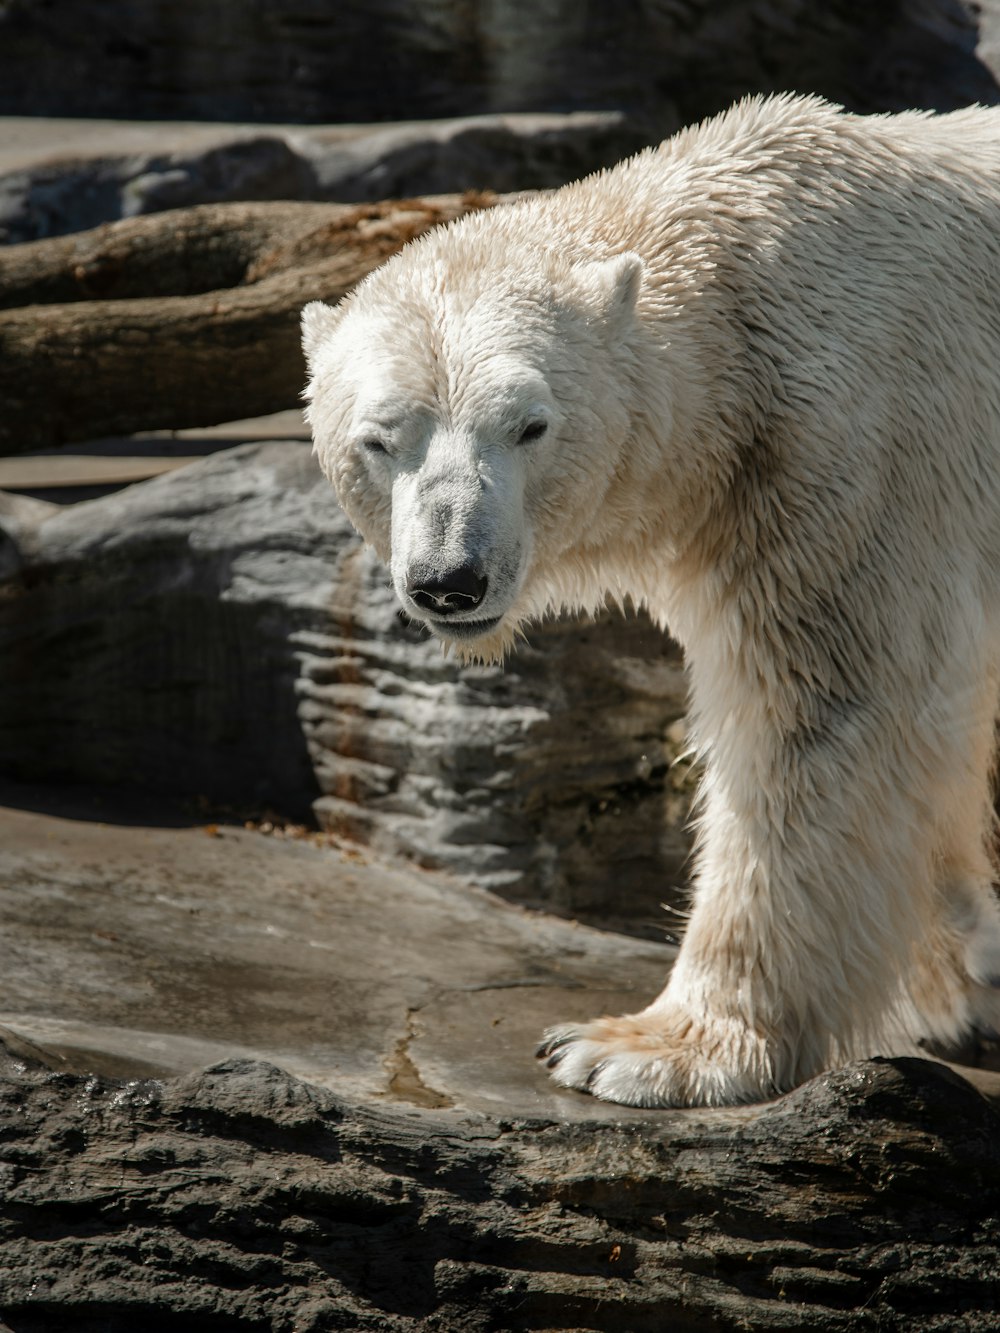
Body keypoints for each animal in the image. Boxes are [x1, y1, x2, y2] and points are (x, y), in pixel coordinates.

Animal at [301, 93, 1000, 1109]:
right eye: (380, 438)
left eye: (530, 425)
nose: (450, 578)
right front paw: (957, 975)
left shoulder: (853, 449)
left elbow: (823, 711)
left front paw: (646, 1048)